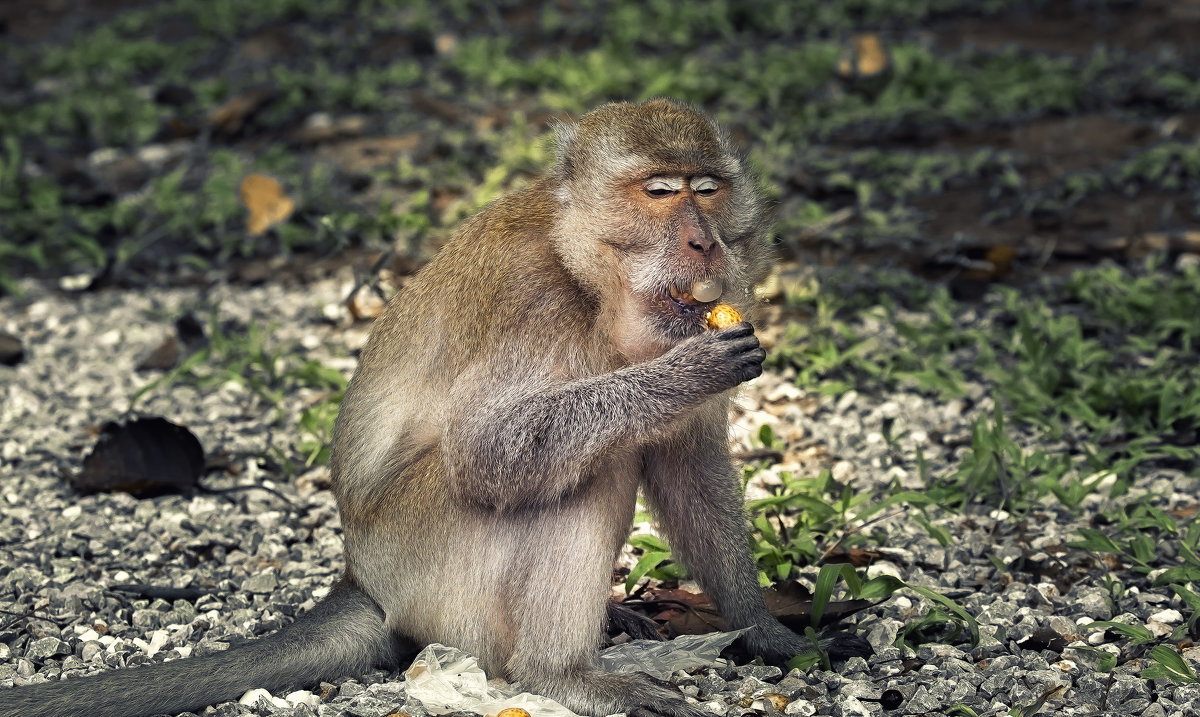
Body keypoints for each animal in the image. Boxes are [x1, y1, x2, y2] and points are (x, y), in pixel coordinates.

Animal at [2, 99, 806, 717]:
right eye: (661, 193)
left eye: (709, 190)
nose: (703, 242)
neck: (588, 274)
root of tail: (362, 577)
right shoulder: (534, 303)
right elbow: (487, 450)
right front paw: (680, 376)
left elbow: (689, 461)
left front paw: (759, 625)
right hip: (429, 566)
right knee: (581, 471)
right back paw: (557, 673)